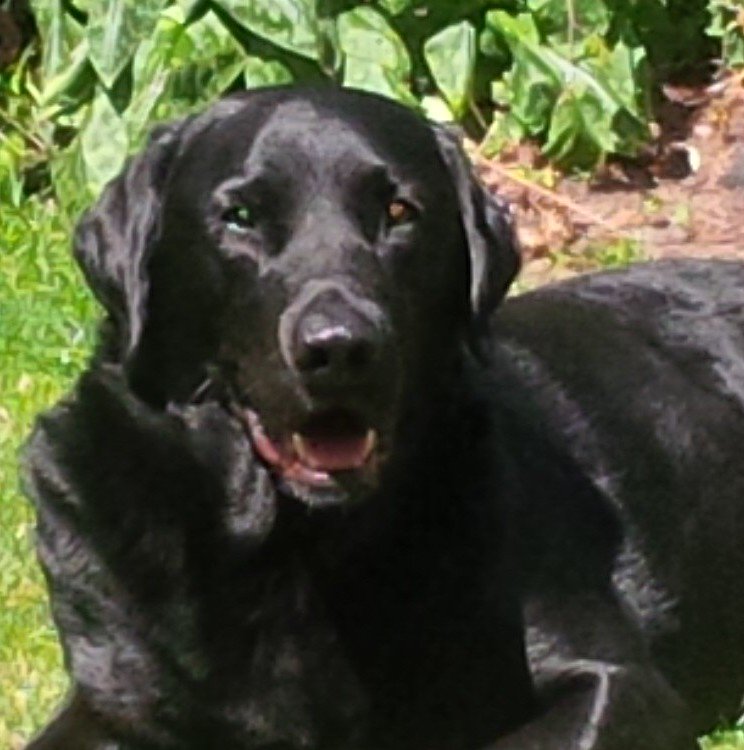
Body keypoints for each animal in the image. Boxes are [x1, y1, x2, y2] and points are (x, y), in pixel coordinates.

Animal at [23, 85, 744, 748]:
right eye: (241, 216)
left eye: (399, 212)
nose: (339, 347)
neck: (293, 549)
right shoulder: (116, 697)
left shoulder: (616, 683)